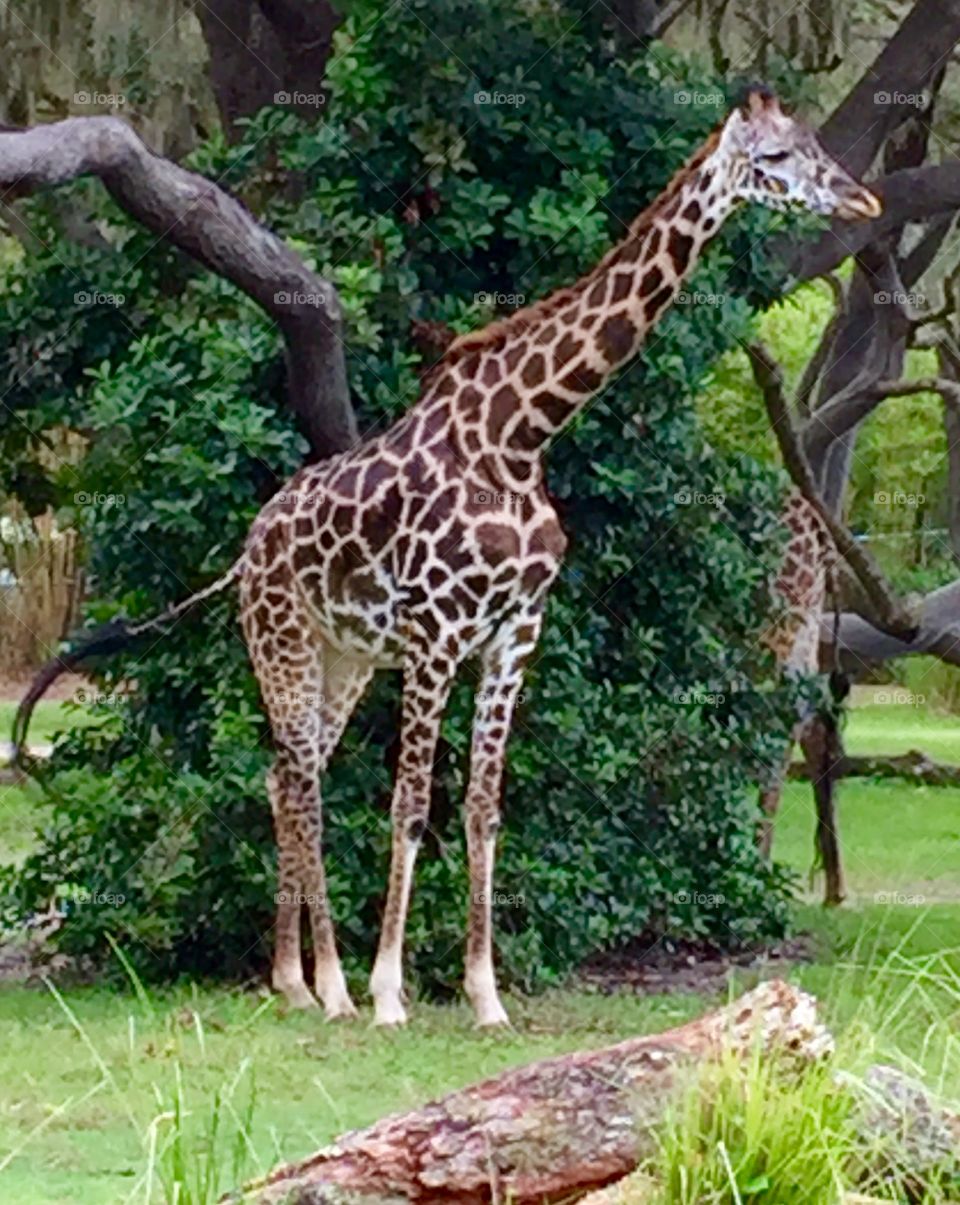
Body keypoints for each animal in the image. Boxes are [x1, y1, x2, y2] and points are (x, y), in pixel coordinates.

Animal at [16, 88, 880, 1025]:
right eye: (775, 159)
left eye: (816, 145)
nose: (863, 200)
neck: (523, 432)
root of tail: (248, 550)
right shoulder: (436, 632)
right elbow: (409, 802)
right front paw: (391, 990)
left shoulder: (514, 632)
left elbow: (482, 806)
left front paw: (484, 993)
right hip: (281, 641)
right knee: (298, 778)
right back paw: (328, 985)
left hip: (347, 660)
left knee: (290, 776)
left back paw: (300, 979)